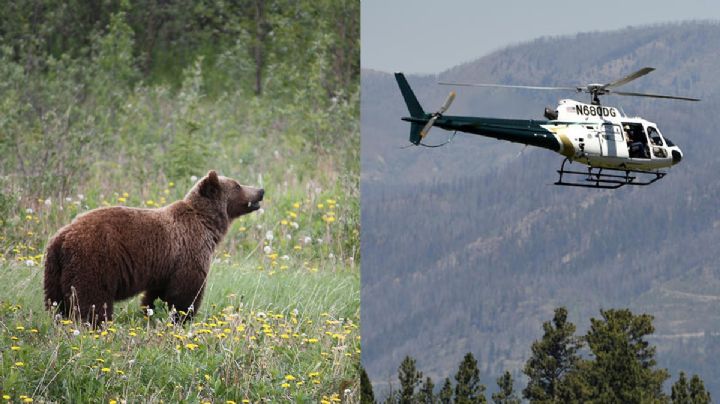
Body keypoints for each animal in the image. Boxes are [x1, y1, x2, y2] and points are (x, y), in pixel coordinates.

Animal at [43, 170, 264, 324]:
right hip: (94, 261)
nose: (261, 190)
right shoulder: (189, 251)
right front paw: (182, 318)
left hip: (54, 271)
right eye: (237, 185)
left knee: (55, 303)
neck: (207, 224)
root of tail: (62, 237)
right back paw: (96, 325)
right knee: (93, 300)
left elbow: (156, 294)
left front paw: (151, 313)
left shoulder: (164, 266)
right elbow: (186, 292)